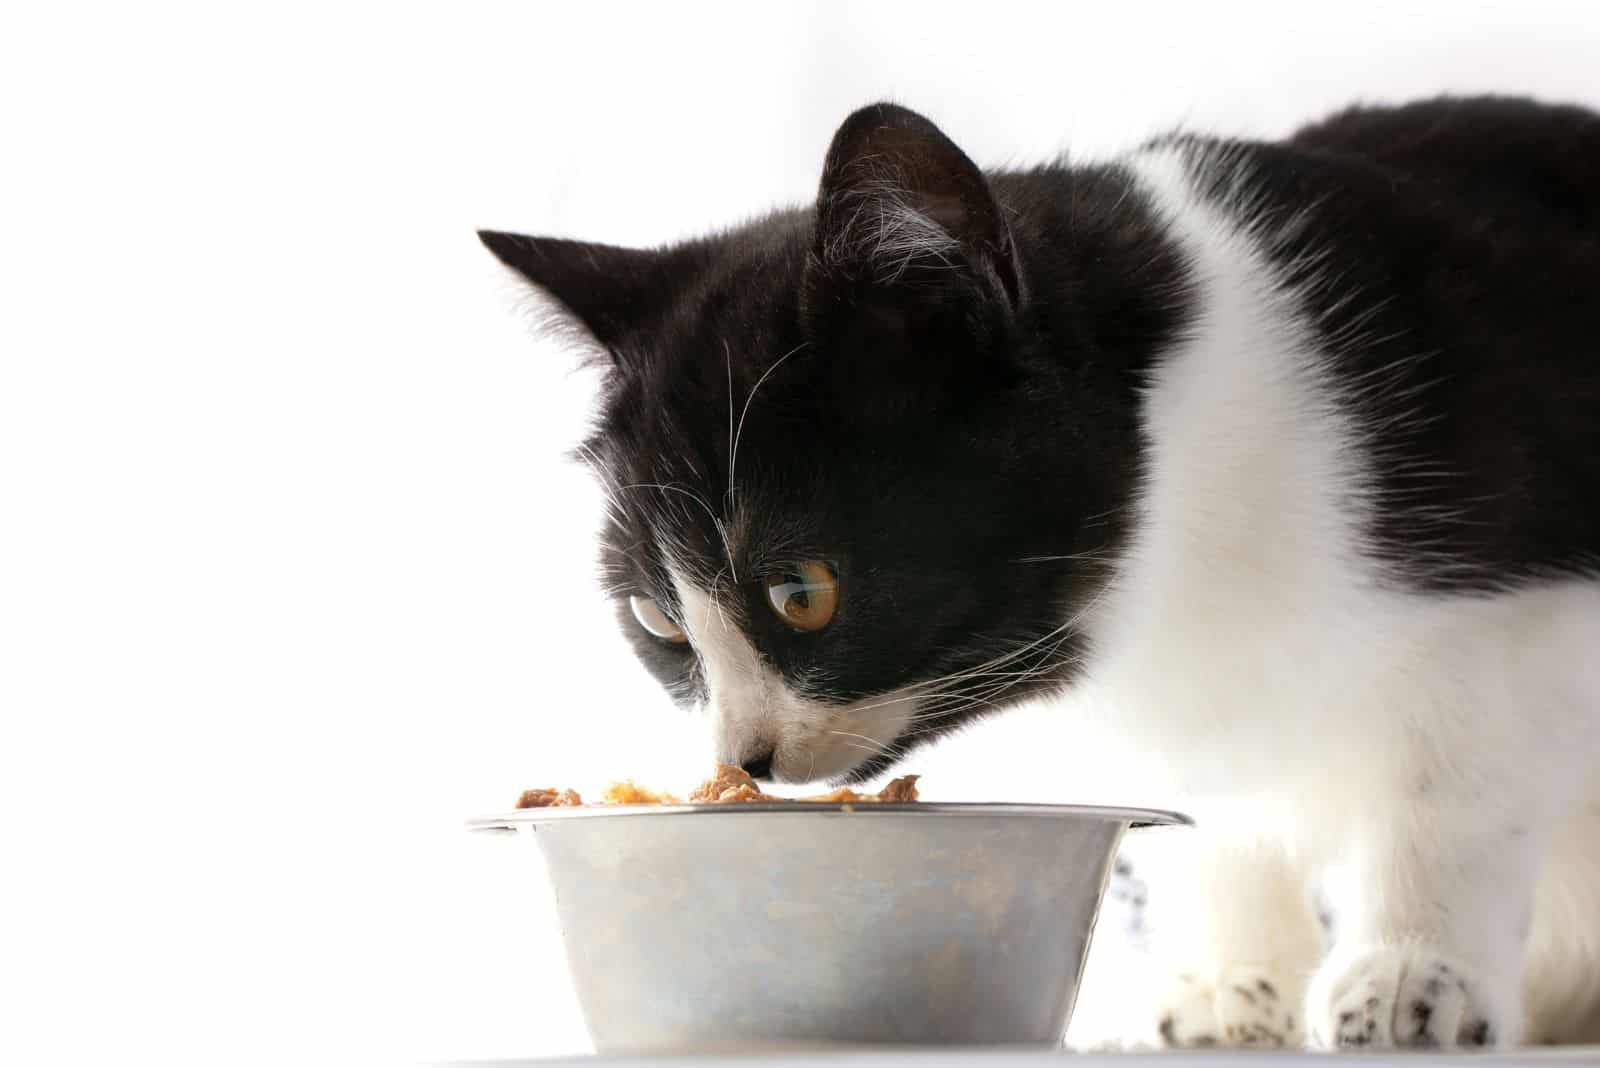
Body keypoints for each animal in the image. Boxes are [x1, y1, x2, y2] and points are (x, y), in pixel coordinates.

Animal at [483, 95, 1600, 1048]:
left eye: (801, 591)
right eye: (657, 619)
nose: (743, 759)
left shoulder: (1519, 599)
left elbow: (1454, 793)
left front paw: (1415, 974)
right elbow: (1206, 806)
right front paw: (1231, 981)